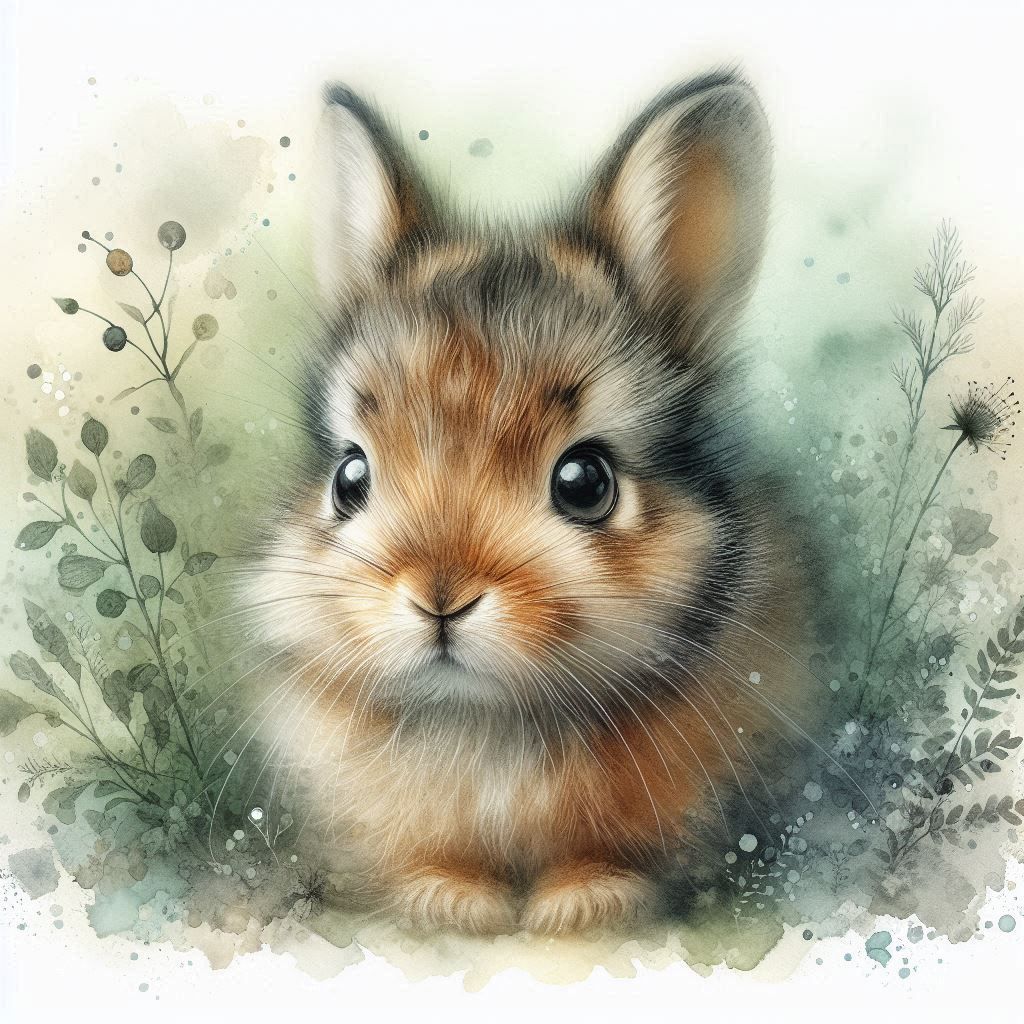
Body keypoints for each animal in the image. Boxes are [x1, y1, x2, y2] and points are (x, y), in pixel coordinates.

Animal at [246, 69, 808, 936]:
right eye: (350, 477)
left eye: (586, 482)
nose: (440, 598)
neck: (489, 720)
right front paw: (449, 901)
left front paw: (584, 903)